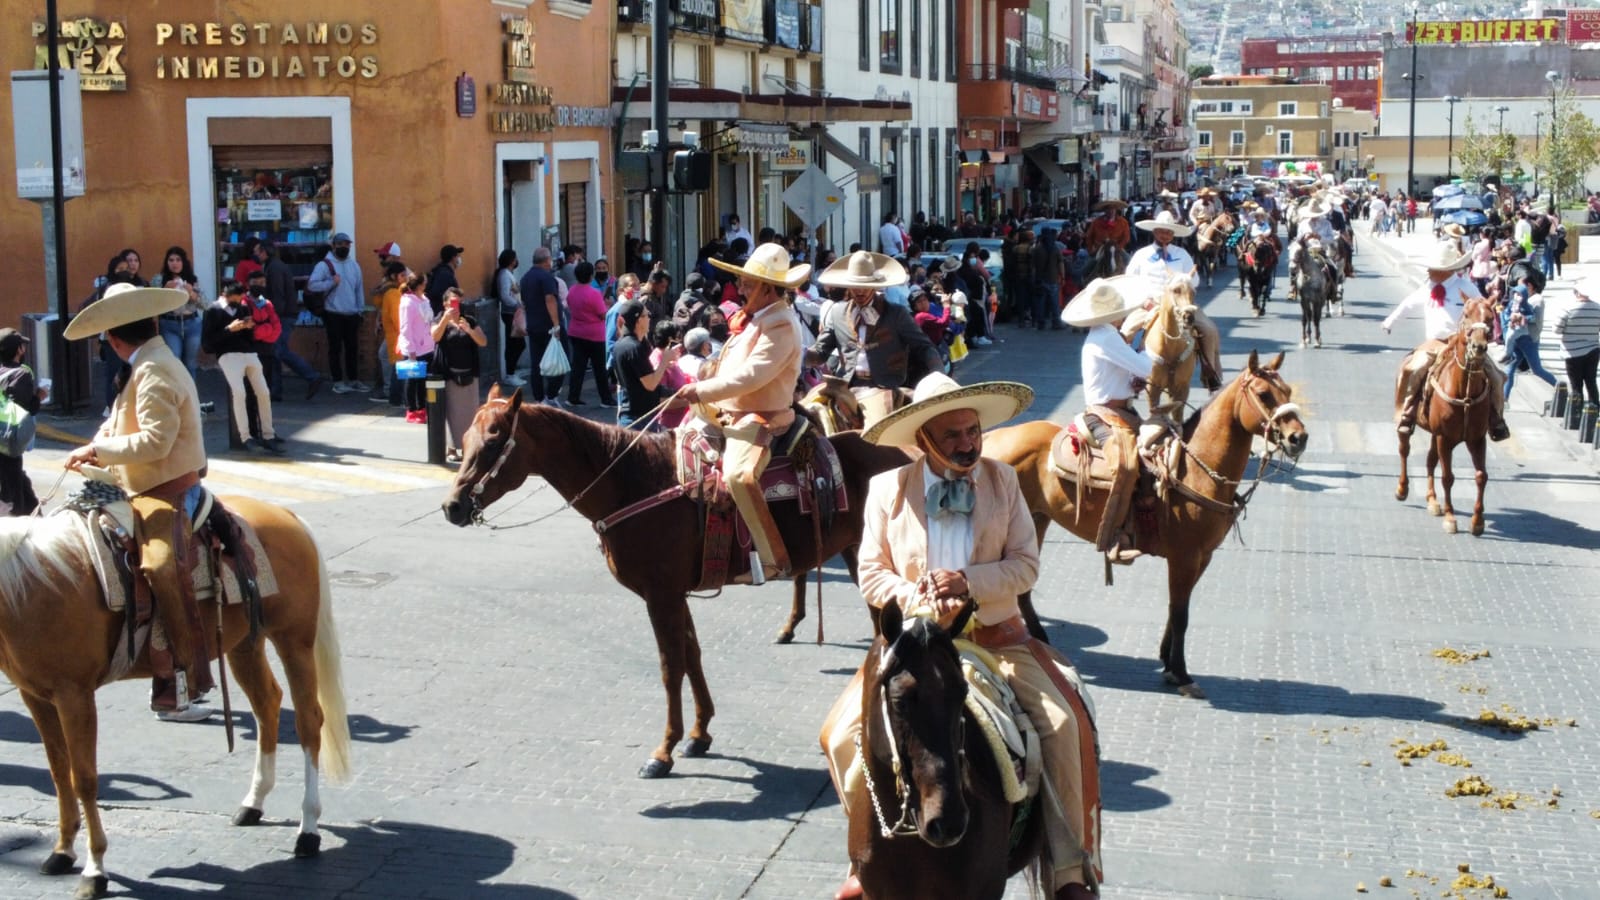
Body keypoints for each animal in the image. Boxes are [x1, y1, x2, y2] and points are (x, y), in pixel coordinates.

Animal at [0, 493, 350, 896]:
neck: (39, 586)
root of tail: (286, 515)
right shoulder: (37, 696)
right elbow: (59, 773)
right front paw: (62, 851)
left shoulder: (75, 696)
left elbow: (84, 779)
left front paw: (95, 869)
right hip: (244, 643)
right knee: (267, 705)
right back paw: (253, 803)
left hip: (294, 641)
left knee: (309, 722)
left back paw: (308, 829)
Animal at [438, 389, 915, 775]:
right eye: (465, 440)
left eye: (494, 440)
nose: (453, 506)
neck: (632, 482)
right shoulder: (675, 593)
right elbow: (692, 655)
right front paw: (699, 735)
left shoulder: (660, 595)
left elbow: (671, 667)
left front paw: (663, 751)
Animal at [979, 350, 1305, 695]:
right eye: (1264, 394)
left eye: (1288, 392)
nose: (1299, 438)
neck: (1193, 468)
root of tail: (992, 436)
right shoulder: (1184, 556)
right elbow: (1181, 614)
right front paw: (1181, 673)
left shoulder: (1202, 557)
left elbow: (1176, 609)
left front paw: (1167, 660)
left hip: (1036, 521)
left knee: (1022, 591)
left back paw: (1042, 642)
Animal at [1401, 297, 1497, 534]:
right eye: (1466, 314)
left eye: (1490, 318)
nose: (1478, 347)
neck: (1465, 392)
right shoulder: (1444, 438)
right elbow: (1448, 477)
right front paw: (1450, 517)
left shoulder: (1476, 439)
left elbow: (1481, 476)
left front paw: (1478, 521)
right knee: (1404, 448)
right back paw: (1402, 489)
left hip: (1436, 436)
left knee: (1429, 460)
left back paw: (1432, 500)